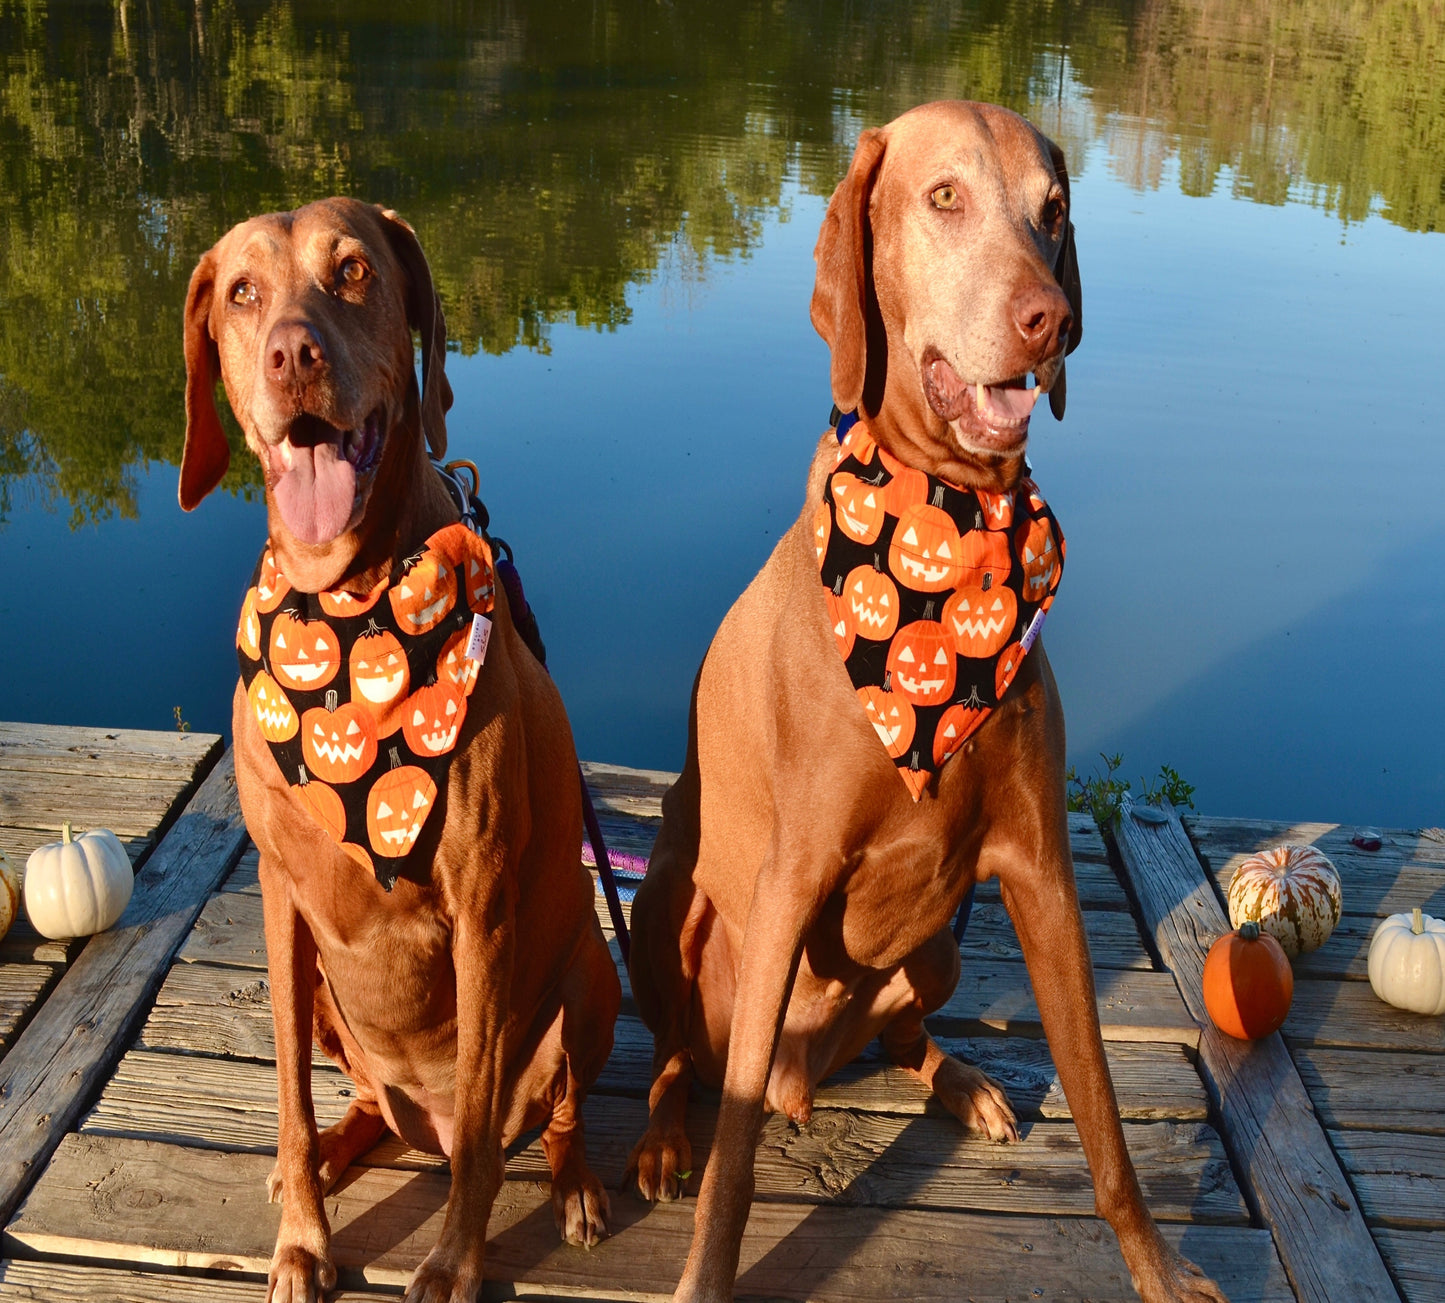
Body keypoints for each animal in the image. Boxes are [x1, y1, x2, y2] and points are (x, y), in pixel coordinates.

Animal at [177, 196, 618, 1303]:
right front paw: (301, 1238)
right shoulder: (281, 900)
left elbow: (481, 1142)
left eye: (353, 272)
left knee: (541, 1115)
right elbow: (288, 1103)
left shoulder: (484, 908)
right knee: (373, 1110)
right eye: (242, 291)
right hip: (338, 1011)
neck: (346, 607)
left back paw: (574, 1182)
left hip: (589, 975)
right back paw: (340, 1152)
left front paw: (455, 1262)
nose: (292, 353)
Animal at [627, 106, 1225, 1303]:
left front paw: (1152, 1263)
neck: (950, 534)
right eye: (943, 197)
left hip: (942, 940)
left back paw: (962, 1082)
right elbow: (733, 1159)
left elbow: (1102, 1118)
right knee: (687, 1063)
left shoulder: (1039, 873)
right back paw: (662, 1139)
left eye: (1053, 210)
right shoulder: (789, 879)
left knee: (901, 1037)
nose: (1050, 320)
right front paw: (703, 1271)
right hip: (670, 903)